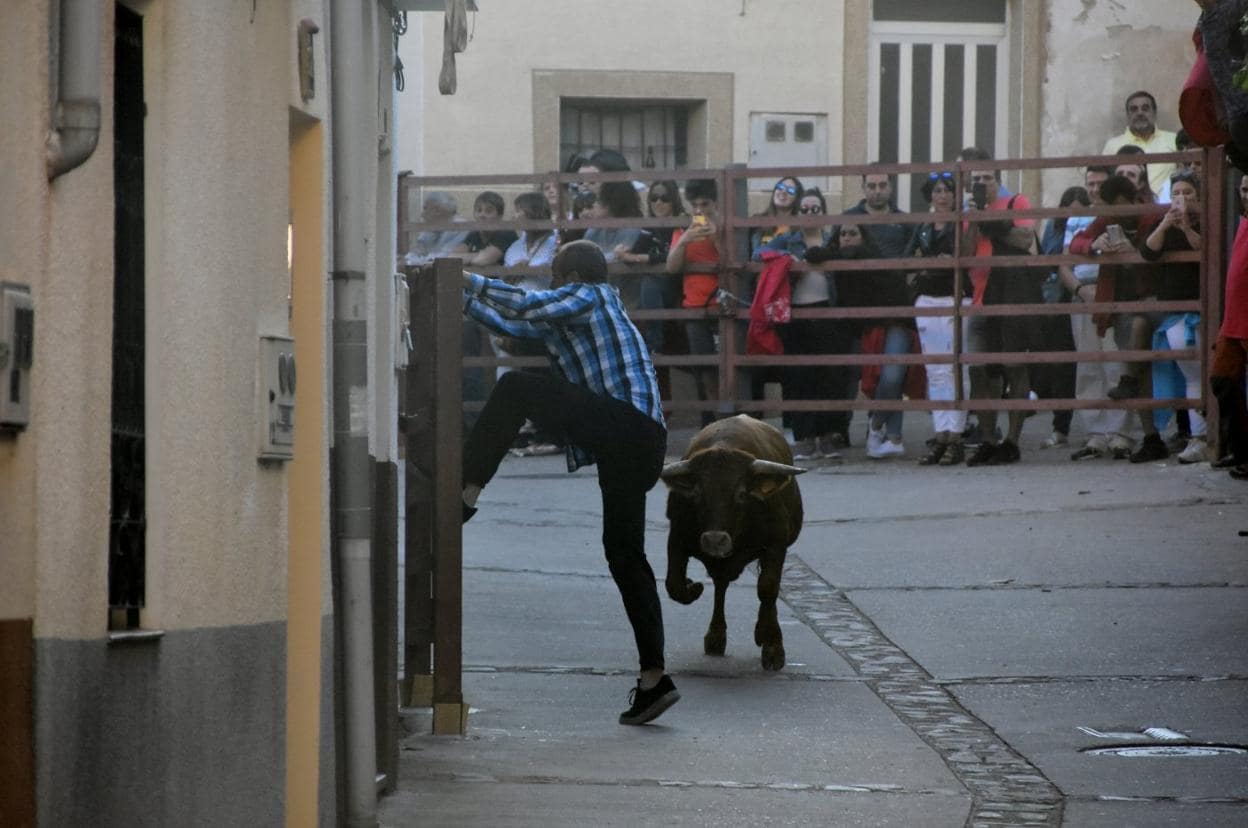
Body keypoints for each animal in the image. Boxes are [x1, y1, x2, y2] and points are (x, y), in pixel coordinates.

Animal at [658, 414, 803, 674]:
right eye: (697, 493)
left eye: (742, 494)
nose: (715, 539)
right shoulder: (677, 537)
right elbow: (674, 584)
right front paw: (693, 587)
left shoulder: (777, 543)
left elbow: (768, 588)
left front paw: (771, 644)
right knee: (720, 585)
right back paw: (715, 637)